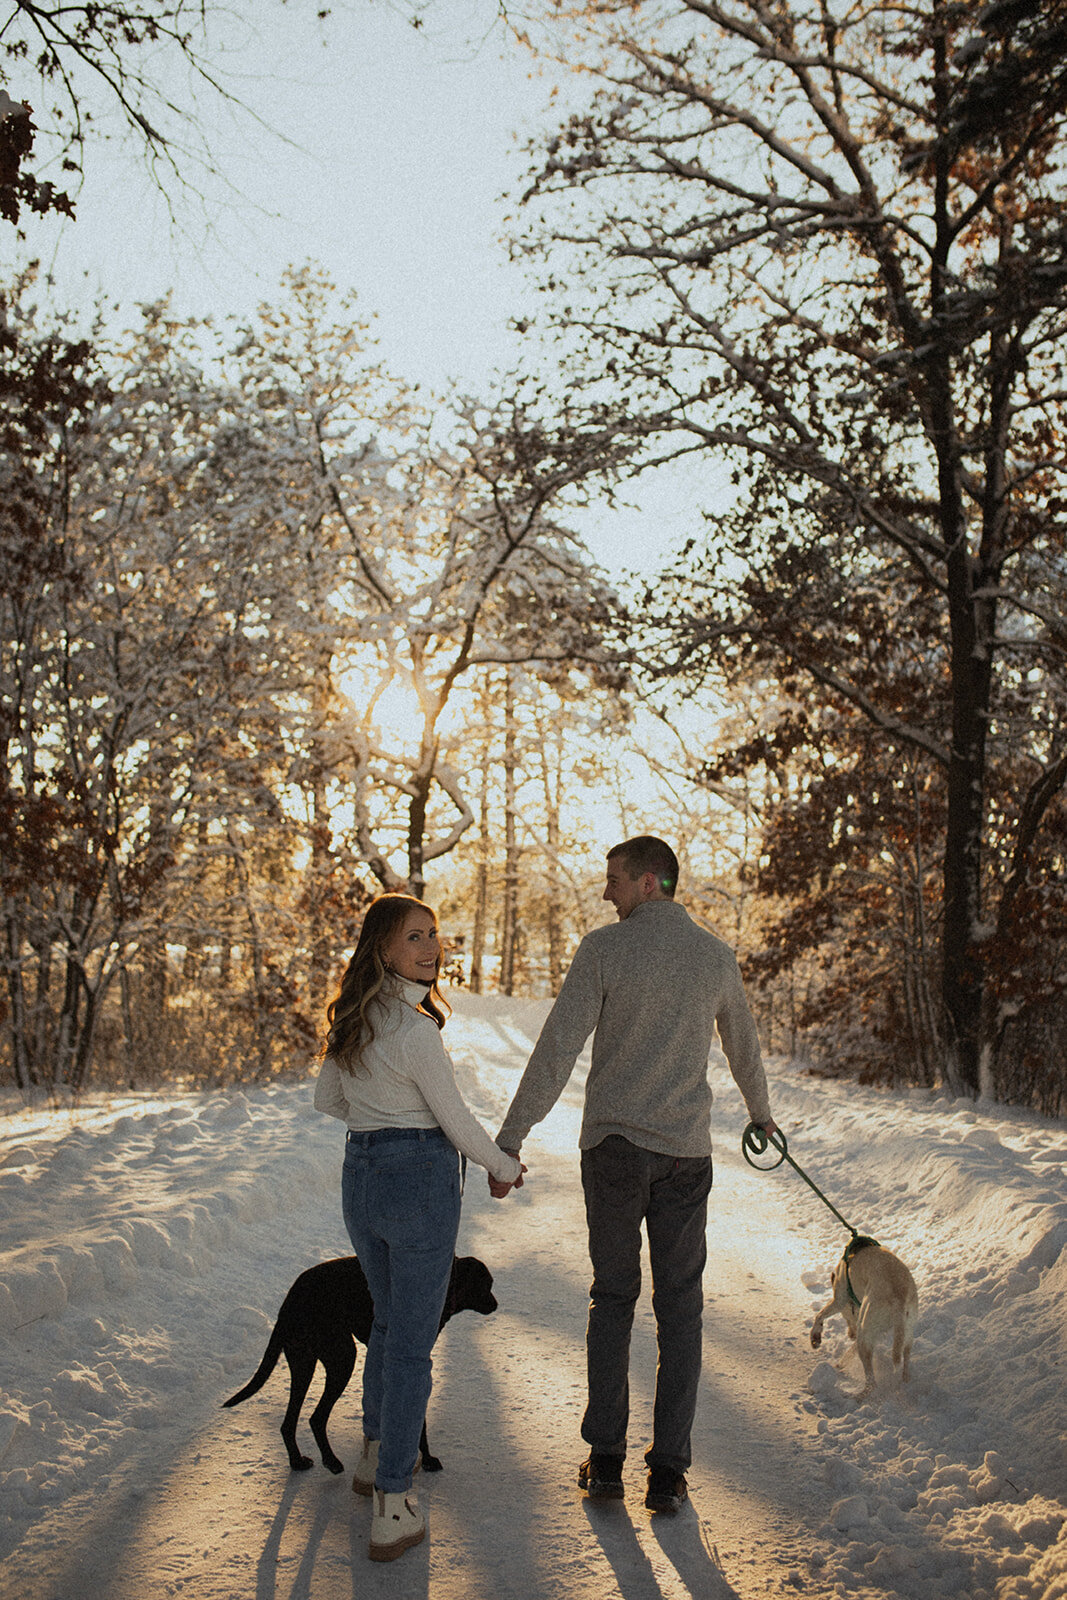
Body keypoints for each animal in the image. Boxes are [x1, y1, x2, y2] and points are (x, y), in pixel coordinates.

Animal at [223, 1254, 499, 1465]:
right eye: (486, 1285)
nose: (496, 1305)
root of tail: (289, 1303)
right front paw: (426, 1458)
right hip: (342, 1357)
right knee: (316, 1417)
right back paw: (331, 1461)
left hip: (303, 1362)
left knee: (289, 1422)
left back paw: (298, 1462)